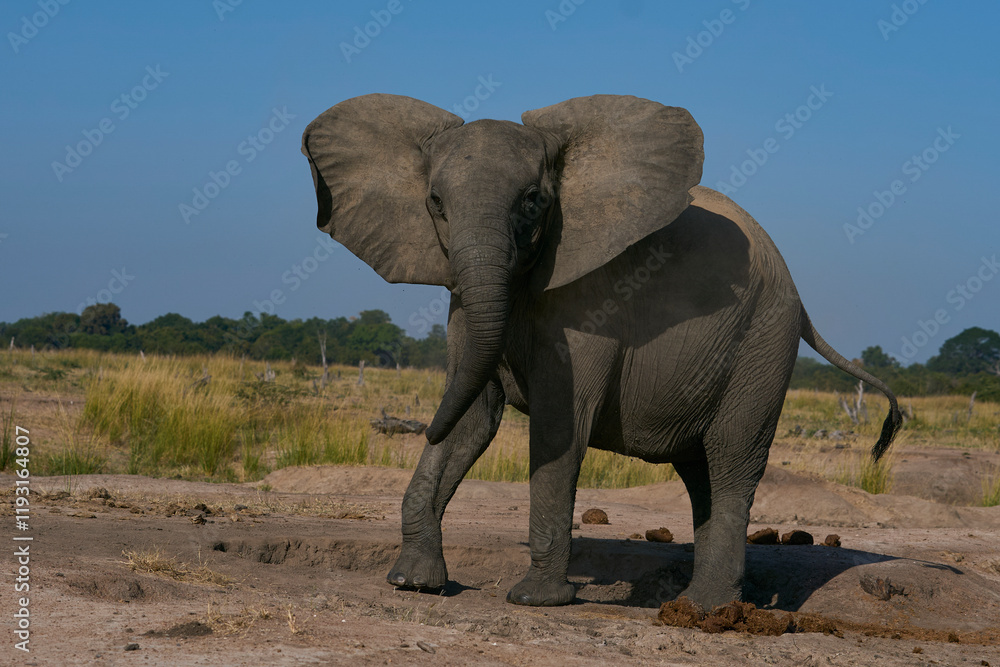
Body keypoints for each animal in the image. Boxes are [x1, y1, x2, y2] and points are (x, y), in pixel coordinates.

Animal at [301, 93, 902, 611]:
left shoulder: (590, 301)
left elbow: (559, 426)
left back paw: (706, 611)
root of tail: (800, 299)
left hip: (763, 343)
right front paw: (412, 583)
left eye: (533, 201)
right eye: (435, 203)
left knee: (732, 461)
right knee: (702, 474)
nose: (410, 426)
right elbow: (471, 414)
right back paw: (694, 603)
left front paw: (535, 600)